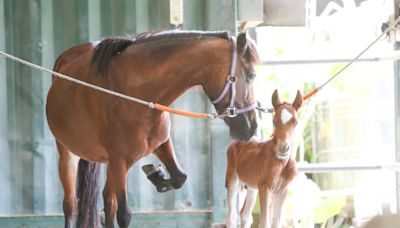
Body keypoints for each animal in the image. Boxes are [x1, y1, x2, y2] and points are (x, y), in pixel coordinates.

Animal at [46, 30, 260, 228]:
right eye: (251, 75)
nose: (251, 128)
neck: (134, 94)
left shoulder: (160, 144)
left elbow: (179, 177)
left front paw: (157, 175)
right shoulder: (119, 160)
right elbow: (124, 214)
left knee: (108, 200)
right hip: (68, 154)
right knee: (71, 205)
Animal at [227, 90, 302, 227]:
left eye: (296, 122)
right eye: (274, 121)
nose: (283, 148)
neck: (281, 162)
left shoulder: (282, 191)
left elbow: (277, 222)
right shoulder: (265, 187)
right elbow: (265, 223)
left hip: (251, 187)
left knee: (245, 216)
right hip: (232, 180)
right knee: (231, 218)